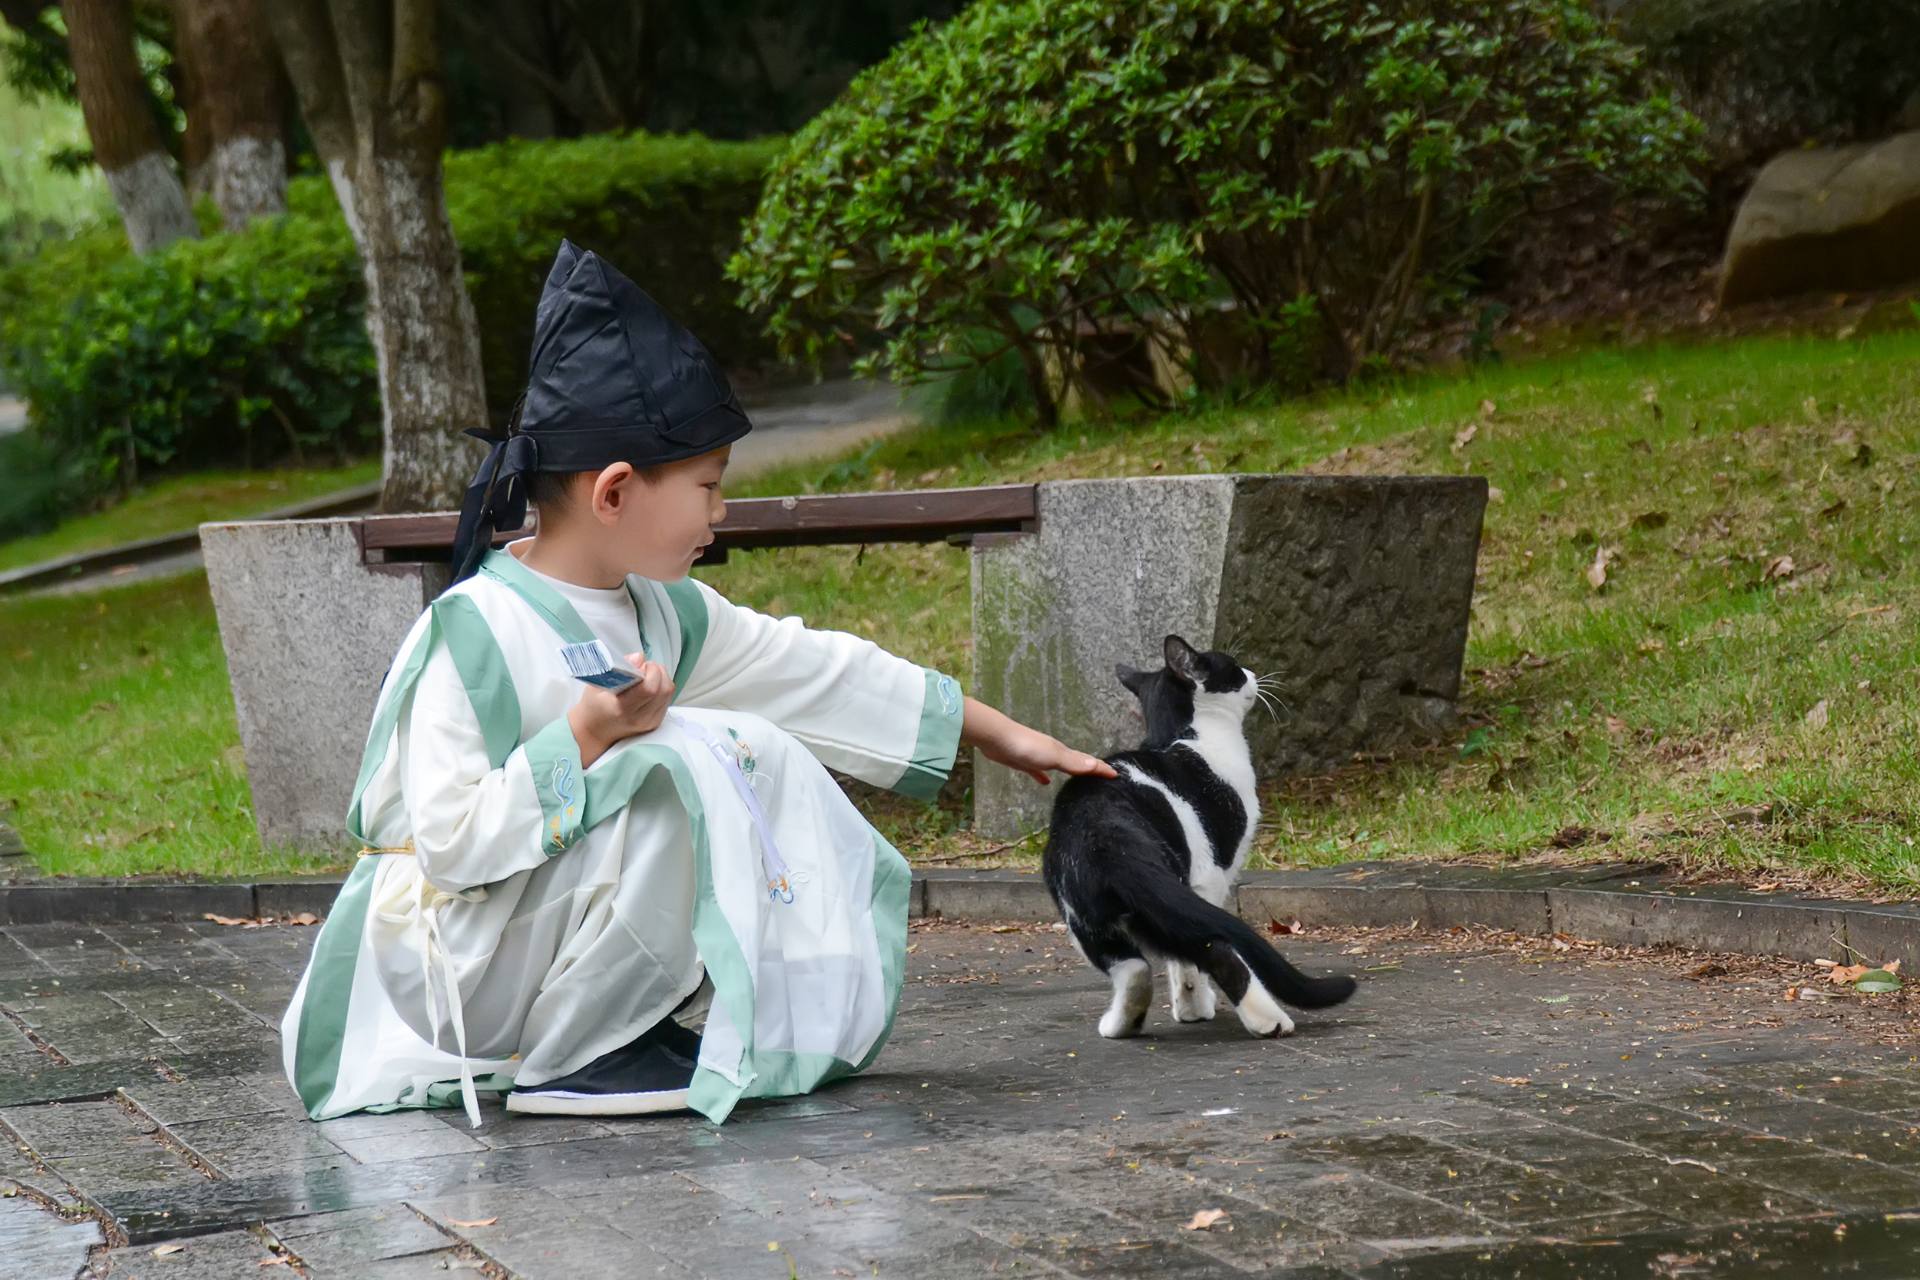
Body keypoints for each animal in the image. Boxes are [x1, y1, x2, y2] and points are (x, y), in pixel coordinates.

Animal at [1044, 637, 1359, 1043]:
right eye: (1235, 667)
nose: (1254, 673)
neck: (1184, 735)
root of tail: (1103, 833)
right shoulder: (1211, 874)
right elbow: (1194, 960)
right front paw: (1196, 1007)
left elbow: (1179, 965)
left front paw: (1189, 1008)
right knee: (1217, 948)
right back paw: (1269, 1021)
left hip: (1091, 915)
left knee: (1134, 967)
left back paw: (1121, 1024)